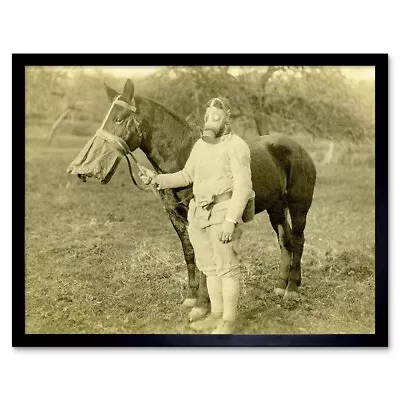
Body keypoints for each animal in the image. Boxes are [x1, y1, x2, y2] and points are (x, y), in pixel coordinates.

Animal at [69, 78, 318, 322]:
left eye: (119, 119)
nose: (82, 169)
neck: (184, 156)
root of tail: (299, 149)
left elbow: (203, 259)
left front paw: (201, 304)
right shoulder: (176, 217)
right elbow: (190, 254)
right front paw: (191, 297)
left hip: (299, 206)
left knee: (298, 241)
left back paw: (292, 290)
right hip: (276, 207)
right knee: (284, 241)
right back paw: (280, 286)